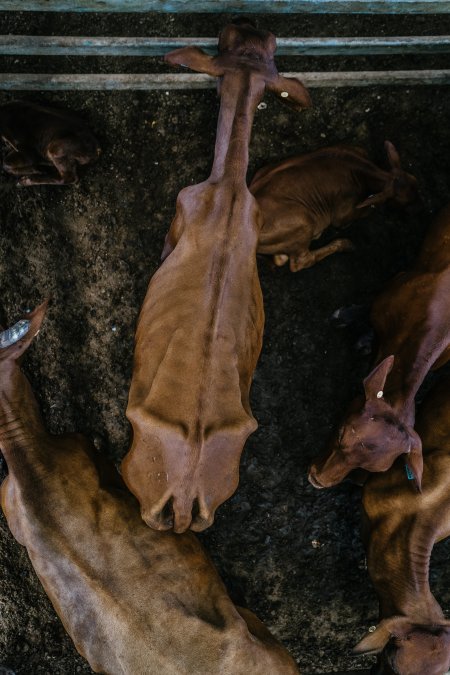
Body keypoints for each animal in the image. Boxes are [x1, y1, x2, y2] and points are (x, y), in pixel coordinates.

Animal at [123, 18, 312, 532]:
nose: (249, 25)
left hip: (139, 472)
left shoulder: (179, 214)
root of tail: (187, 492)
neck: (228, 185)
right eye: (251, 47)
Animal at [250, 142, 418, 272]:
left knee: (281, 259)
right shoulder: (342, 215)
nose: (415, 208)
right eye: (405, 202)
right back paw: (345, 244)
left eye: (415, 183)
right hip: (303, 221)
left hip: (263, 170)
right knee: (302, 261)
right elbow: (367, 208)